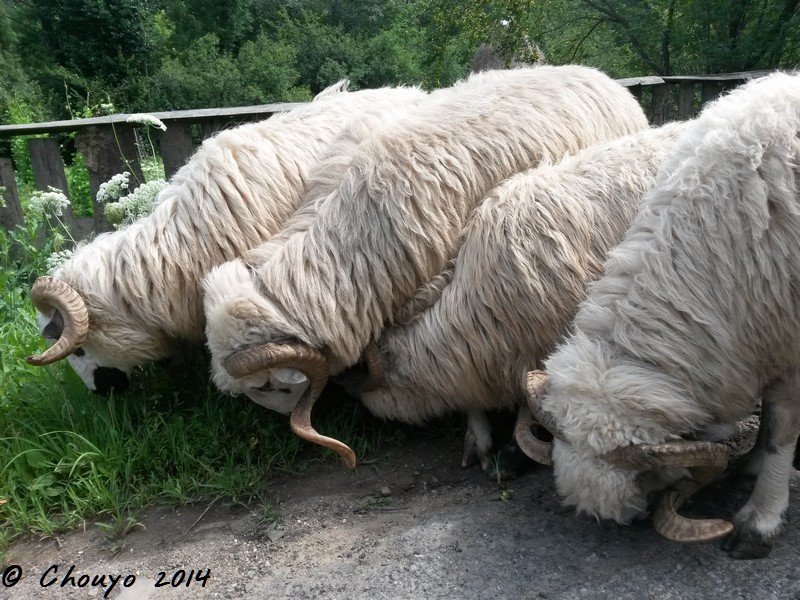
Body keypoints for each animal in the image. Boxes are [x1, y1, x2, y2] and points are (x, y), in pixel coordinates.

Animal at [528, 72, 800, 560]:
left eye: (652, 483)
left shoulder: (789, 342)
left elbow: (781, 430)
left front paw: (760, 519)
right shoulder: (760, 339)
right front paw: (750, 465)